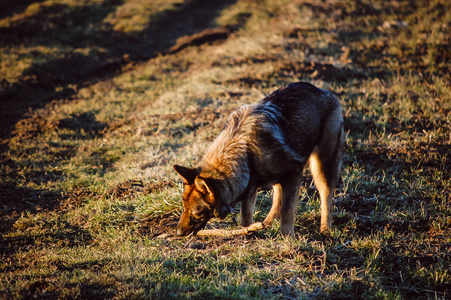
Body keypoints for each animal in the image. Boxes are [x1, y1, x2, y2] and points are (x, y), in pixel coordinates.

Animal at [175, 82, 344, 237]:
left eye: (196, 213)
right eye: (184, 207)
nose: (178, 232)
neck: (243, 149)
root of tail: (324, 91)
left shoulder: (293, 175)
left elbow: (287, 211)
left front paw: (287, 237)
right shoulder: (249, 189)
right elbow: (246, 217)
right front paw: (247, 233)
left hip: (321, 167)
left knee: (326, 195)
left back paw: (325, 230)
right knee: (277, 196)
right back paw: (267, 222)